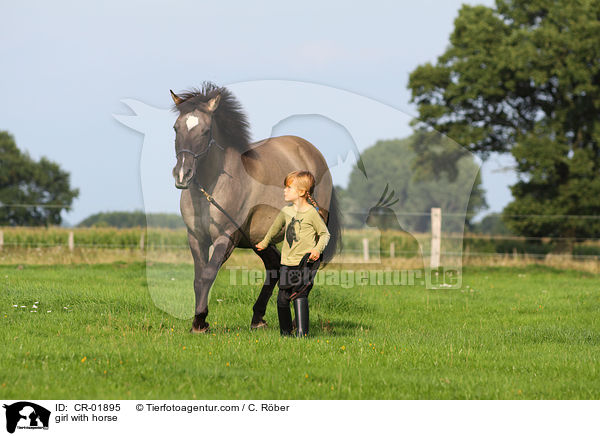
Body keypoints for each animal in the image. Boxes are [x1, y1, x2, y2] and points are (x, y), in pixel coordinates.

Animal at [169, 82, 342, 334]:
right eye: (176, 128)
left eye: (205, 131)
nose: (183, 174)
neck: (212, 185)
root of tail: (314, 153)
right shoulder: (196, 237)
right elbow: (198, 277)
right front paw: (198, 321)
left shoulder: (226, 237)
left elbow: (209, 274)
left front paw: (200, 321)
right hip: (259, 238)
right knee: (274, 267)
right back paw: (258, 318)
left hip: (311, 233)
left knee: (309, 271)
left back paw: (293, 323)